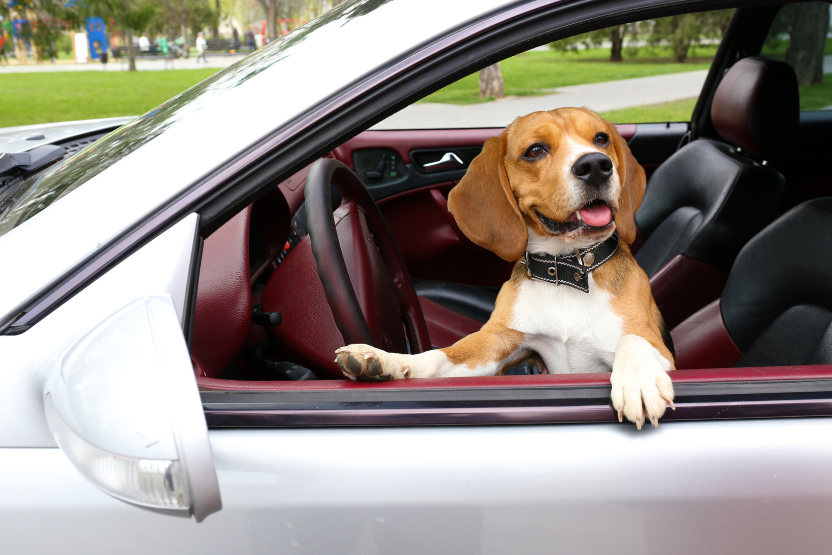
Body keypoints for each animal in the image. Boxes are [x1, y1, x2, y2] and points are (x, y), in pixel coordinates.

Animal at [334, 108, 672, 430]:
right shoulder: (497, 341)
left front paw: (639, 382)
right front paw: (382, 359)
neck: (567, 271)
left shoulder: (661, 350)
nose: (596, 165)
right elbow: (437, 357)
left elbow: (633, 339)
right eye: (535, 150)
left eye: (601, 139)